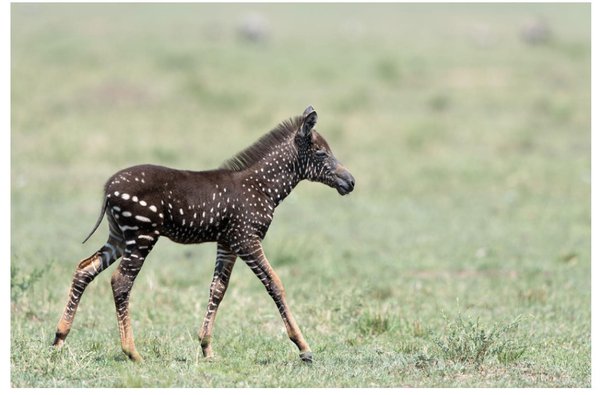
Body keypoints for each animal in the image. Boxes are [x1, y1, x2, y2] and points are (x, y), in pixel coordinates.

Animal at [52, 106, 352, 364]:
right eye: (321, 153)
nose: (350, 181)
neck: (262, 187)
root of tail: (108, 188)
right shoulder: (247, 239)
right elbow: (275, 284)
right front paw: (303, 347)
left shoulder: (228, 242)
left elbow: (218, 289)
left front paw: (206, 347)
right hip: (141, 236)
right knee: (121, 282)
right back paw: (132, 352)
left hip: (119, 237)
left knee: (84, 269)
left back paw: (59, 339)